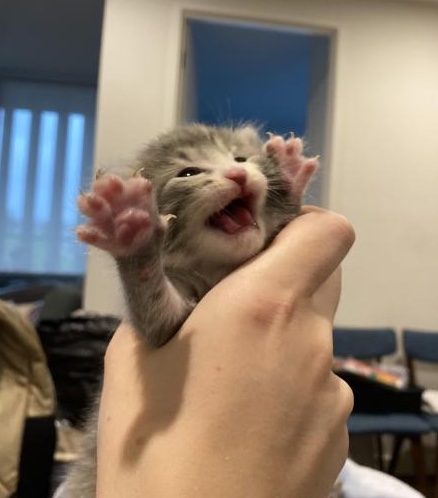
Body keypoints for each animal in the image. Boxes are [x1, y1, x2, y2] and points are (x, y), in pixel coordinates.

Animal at [60, 124, 318, 498]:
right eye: (188, 173)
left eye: (240, 158)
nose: (239, 174)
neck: (215, 269)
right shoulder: (165, 325)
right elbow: (157, 311)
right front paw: (130, 231)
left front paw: (290, 171)